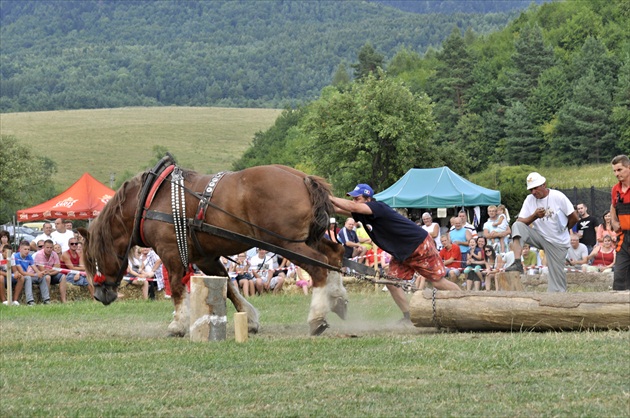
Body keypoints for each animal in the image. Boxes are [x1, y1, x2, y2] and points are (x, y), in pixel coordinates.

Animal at [81, 163, 348, 336]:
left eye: (93, 259)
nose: (99, 295)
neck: (149, 200)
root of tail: (303, 179)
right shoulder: (206, 257)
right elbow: (228, 286)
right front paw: (249, 319)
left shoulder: (171, 252)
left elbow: (176, 287)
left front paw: (178, 324)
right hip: (308, 238)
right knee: (334, 255)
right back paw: (338, 299)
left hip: (288, 243)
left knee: (319, 268)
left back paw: (317, 317)